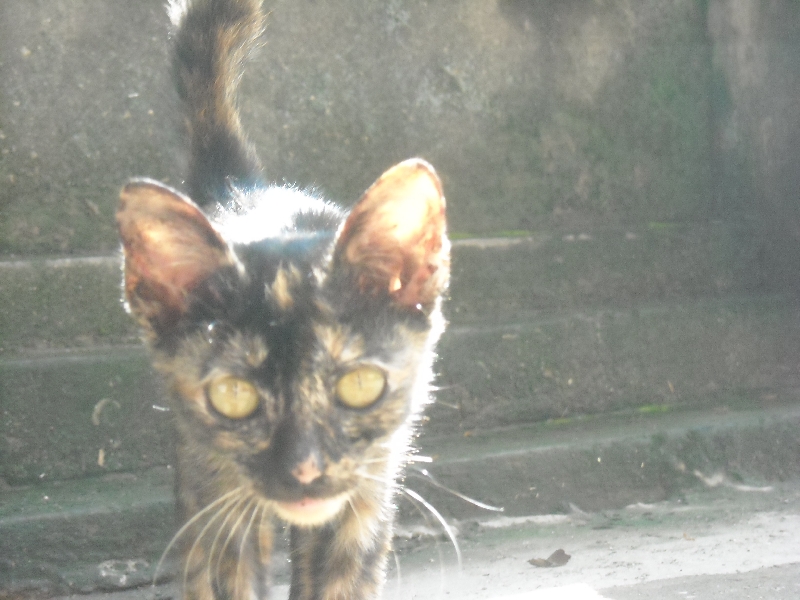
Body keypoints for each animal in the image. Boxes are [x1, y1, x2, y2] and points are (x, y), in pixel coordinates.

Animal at [115, 1, 450, 600]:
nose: (304, 471)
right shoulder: (217, 501)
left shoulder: (367, 494)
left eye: (360, 385)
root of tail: (244, 191)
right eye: (233, 395)